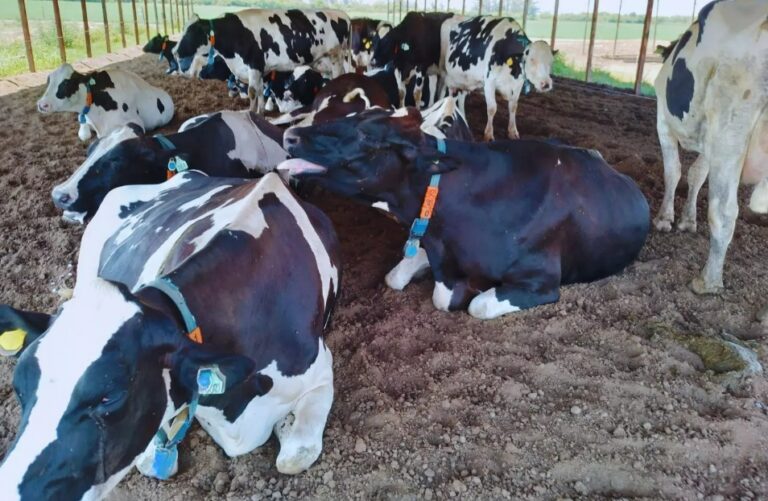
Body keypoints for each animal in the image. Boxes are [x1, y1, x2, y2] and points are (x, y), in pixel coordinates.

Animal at [0, 171, 341, 500]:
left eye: (110, 396)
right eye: (19, 388)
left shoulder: (322, 371)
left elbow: (294, 457)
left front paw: (286, 425)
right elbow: (153, 460)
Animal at [174, 10, 350, 113]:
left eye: (192, 32)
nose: (174, 51)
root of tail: (342, 14)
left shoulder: (254, 65)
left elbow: (252, 92)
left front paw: (252, 115)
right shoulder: (258, 70)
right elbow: (259, 91)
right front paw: (260, 115)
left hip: (337, 57)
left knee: (339, 77)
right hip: (323, 62)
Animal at [653, 0, 768, 294]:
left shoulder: (662, 120)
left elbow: (673, 172)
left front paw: (664, 218)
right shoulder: (709, 143)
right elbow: (695, 175)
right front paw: (687, 221)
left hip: (731, 129)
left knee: (724, 211)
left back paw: (708, 281)